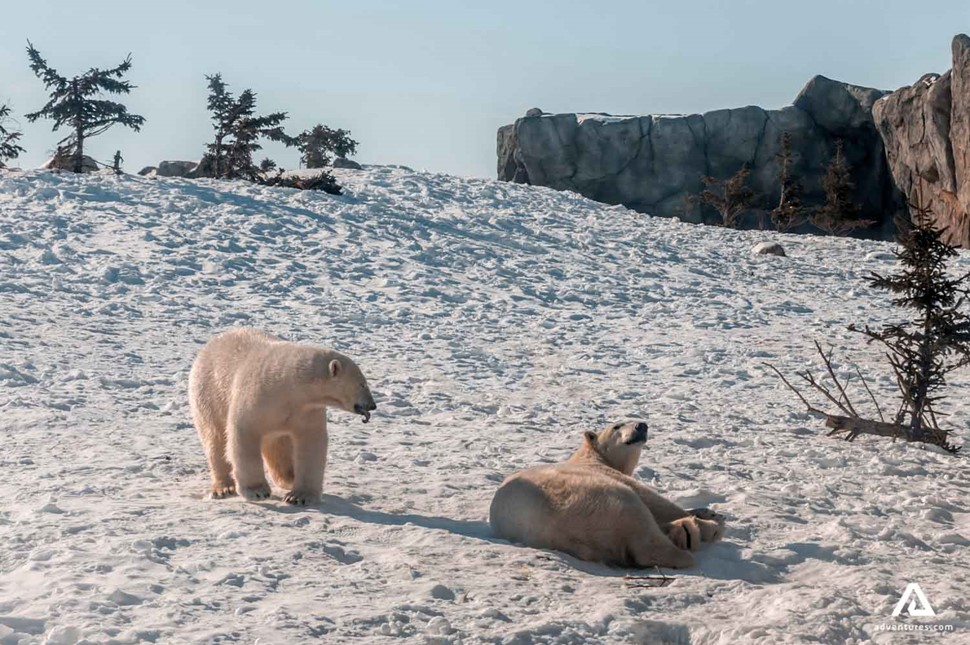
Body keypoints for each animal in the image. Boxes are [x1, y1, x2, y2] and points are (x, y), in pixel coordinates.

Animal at [187, 330, 376, 506]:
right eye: (362, 384)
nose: (372, 405)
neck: (287, 384)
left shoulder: (305, 409)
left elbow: (311, 441)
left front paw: (299, 496)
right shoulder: (256, 397)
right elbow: (244, 434)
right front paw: (257, 491)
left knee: (277, 445)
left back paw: (289, 477)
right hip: (209, 394)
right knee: (215, 439)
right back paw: (223, 487)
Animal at [488, 422, 724, 568]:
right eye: (617, 426)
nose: (641, 425)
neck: (589, 456)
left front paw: (706, 512)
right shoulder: (604, 473)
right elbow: (654, 500)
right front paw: (712, 520)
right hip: (597, 499)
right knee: (642, 527)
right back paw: (690, 536)